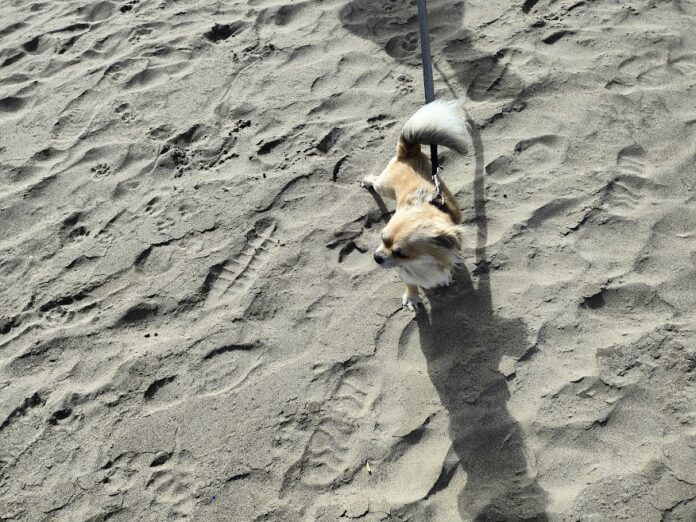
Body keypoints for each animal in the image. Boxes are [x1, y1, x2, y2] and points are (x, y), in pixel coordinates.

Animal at [362, 99, 470, 306]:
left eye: (401, 254)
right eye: (382, 239)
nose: (376, 257)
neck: (420, 263)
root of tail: (409, 151)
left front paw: (445, 279)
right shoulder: (404, 271)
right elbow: (410, 282)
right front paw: (412, 297)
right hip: (383, 186)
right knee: (376, 181)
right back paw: (367, 180)